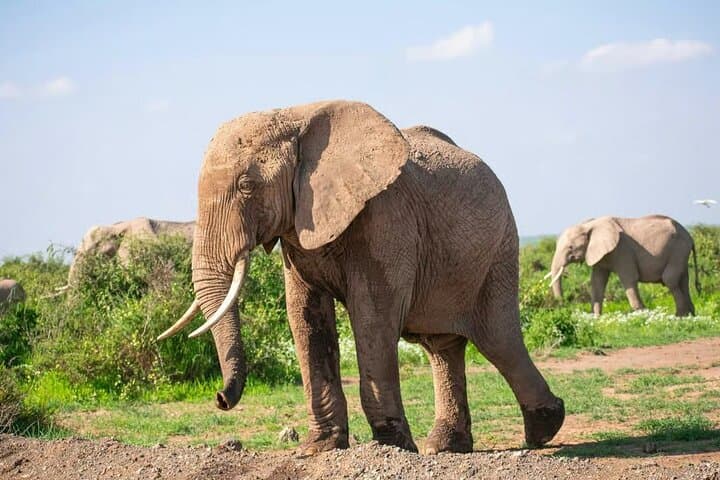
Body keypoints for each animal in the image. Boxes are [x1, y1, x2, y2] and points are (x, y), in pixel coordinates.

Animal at [158, 100, 564, 454]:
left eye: (246, 185)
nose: (220, 398)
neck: (295, 117)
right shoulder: (300, 226)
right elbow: (305, 317)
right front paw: (318, 448)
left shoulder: (385, 216)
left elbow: (372, 315)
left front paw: (391, 447)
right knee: (443, 346)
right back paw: (445, 446)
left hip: (499, 250)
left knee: (498, 339)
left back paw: (545, 429)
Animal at [548, 215, 699, 316]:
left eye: (570, 247)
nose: (564, 305)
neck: (590, 225)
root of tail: (690, 237)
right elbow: (597, 281)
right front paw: (596, 318)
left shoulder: (623, 250)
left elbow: (629, 279)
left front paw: (644, 314)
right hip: (681, 252)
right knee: (683, 280)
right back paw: (690, 315)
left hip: (678, 249)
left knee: (670, 279)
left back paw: (679, 316)